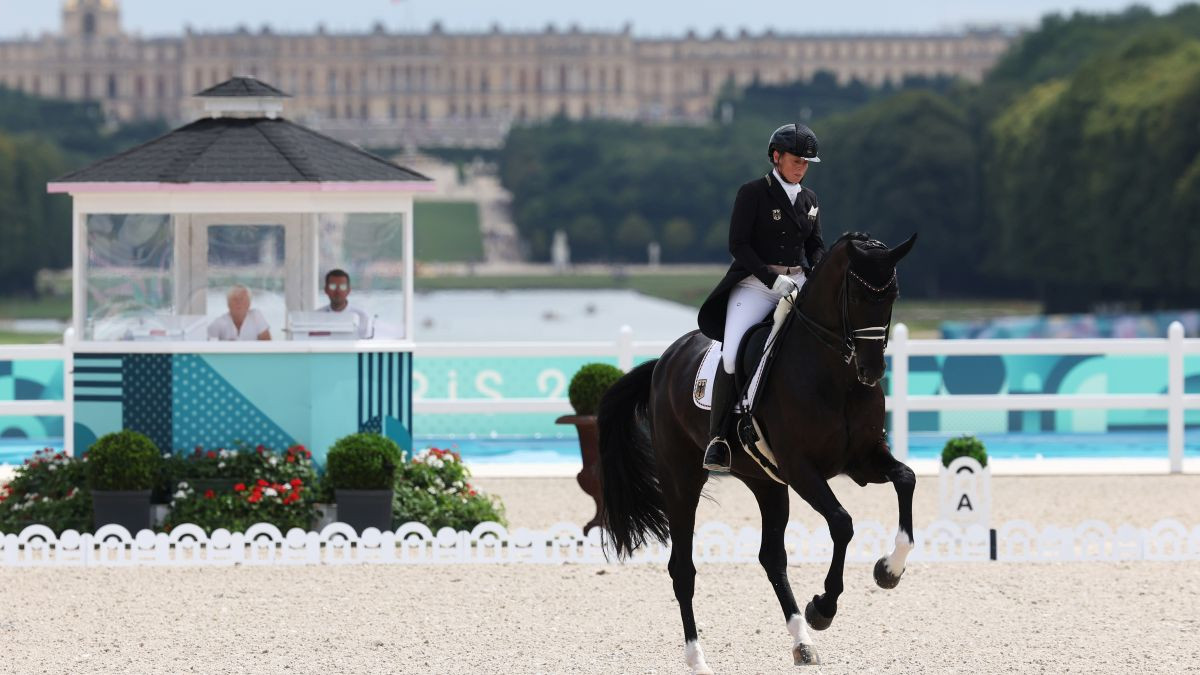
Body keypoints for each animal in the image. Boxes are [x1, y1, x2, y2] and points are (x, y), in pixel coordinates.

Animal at [600, 233, 916, 667]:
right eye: (856, 294)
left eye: (893, 294)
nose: (872, 370)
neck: (835, 376)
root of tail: (665, 360)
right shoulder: (801, 468)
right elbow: (842, 522)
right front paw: (824, 607)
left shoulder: (863, 459)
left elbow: (906, 479)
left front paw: (889, 570)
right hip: (682, 480)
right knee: (683, 569)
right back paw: (698, 659)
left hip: (765, 482)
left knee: (772, 558)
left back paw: (802, 643)